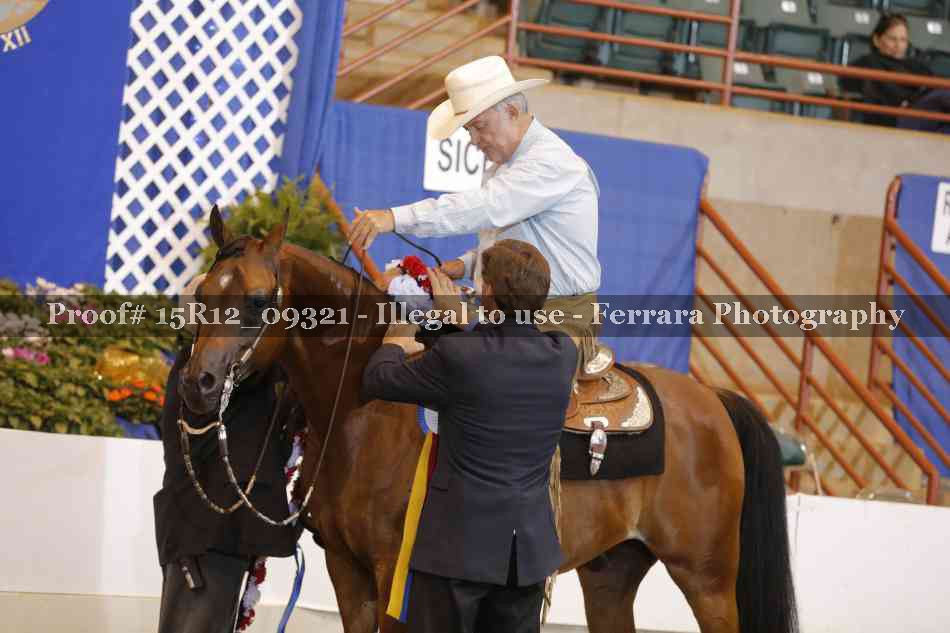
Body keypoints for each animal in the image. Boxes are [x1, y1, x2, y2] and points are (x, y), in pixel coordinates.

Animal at [179, 208, 797, 633]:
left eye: (260, 300)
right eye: (203, 291)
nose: (198, 384)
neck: (363, 408)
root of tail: (712, 399)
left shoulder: (393, 573)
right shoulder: (346, 570)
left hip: (707, 576)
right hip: (612, 572)